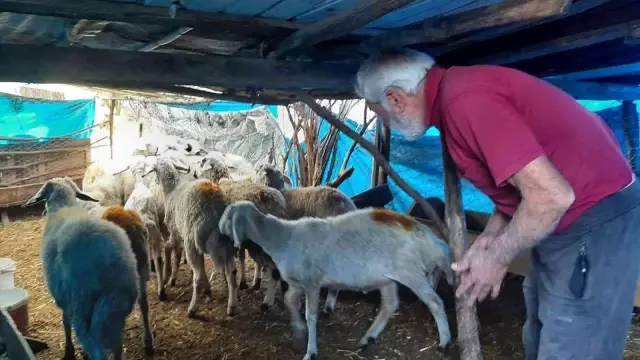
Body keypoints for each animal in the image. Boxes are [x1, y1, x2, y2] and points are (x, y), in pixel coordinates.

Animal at [22, 178, 144, 360]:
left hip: (83, 303)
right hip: (116, 307)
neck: (63, 206)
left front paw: (69, 352)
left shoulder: (63, 296)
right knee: (116, 347)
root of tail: (111, 261)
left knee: (94, 345)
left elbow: (65, 322)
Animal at [220, 201, 456, 360]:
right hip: (386, 278)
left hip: (411, 272)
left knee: (435, 302)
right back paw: (367, 338)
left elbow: (311, 316)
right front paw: (298, 329)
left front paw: (311, 351)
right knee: (389, 305)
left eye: (228, 217)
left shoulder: (312, 282)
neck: (282, 238)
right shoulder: (298, 283)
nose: (221, 231)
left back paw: (444, 342)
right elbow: (288, 301)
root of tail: (431, 239)